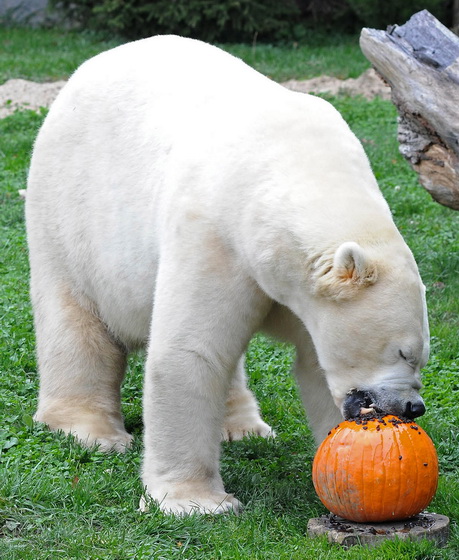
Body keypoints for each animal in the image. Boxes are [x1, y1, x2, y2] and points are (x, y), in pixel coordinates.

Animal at [25, 36, 430, 516]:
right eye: (404, 352)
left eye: (421, 356)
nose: (413, 406)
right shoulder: (213, 234)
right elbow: (192, 351)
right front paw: (196, 502)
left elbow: (315, 365)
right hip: (67, 213)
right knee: (75, 321)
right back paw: (89, 430)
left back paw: (243, 426)